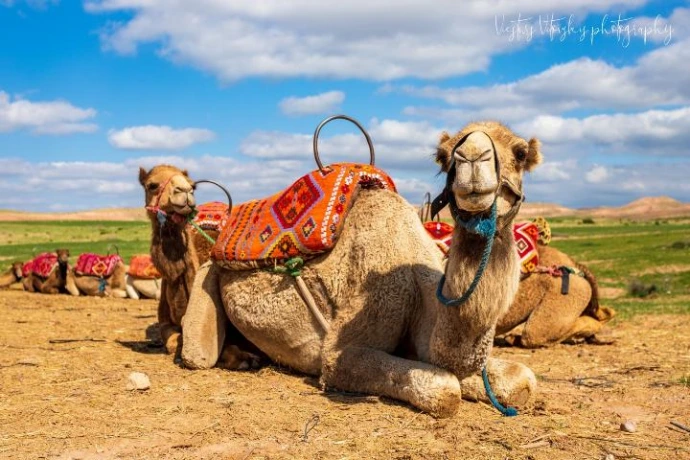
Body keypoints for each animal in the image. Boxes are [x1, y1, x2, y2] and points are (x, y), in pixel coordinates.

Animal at [139, 166, 262, 368]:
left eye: (193, 186)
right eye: (152, 185)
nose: (184, 191)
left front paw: (245, 358)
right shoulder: (165, 322)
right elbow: (172, 340)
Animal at [181, 121, 543, 417]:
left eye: (520, 153)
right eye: (443, 156)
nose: (472, 157)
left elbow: (522, 378)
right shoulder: (346, 346)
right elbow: (444, 387)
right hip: (207, 276)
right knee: (197, 354)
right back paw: (239, 358)